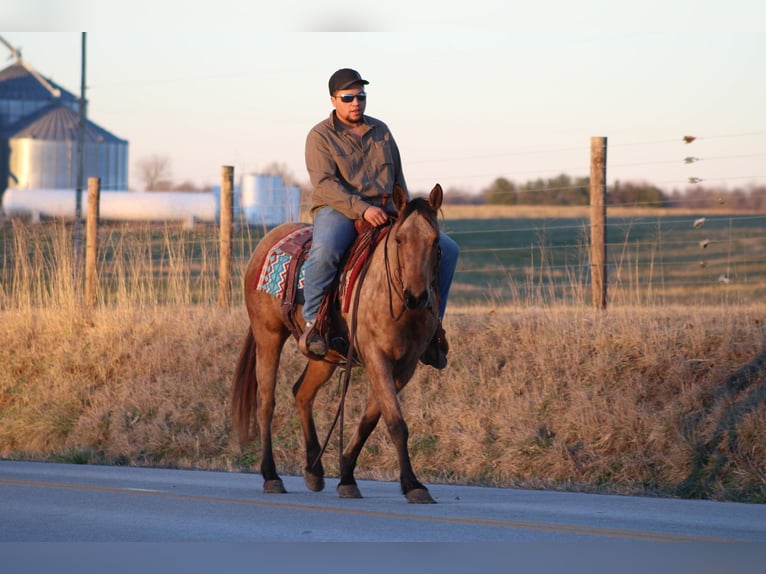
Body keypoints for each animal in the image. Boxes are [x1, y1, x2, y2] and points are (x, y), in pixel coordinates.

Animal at [230, 183, 444, 504]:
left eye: (435, 241)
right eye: (400, 239)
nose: (417, 297)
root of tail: (269, 240)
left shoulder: (404, 367)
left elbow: (370, 420)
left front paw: (346, 477)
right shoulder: (376, 358)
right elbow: (396, 422)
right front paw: (412, 484)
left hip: (325, 356)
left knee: (302, 393)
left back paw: (313, 469)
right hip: (268, 336)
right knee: (266, 402)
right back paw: (271, 475)